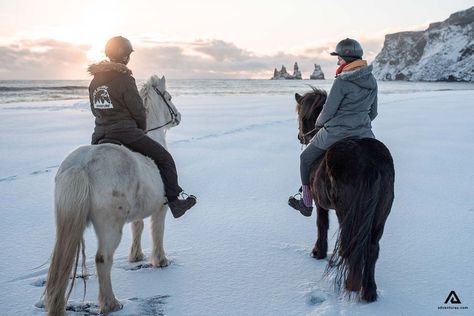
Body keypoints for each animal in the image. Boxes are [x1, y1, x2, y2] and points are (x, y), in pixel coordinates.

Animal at [44, 75, 180, 314]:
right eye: (169, 98)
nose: (178, 116)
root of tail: (82, 165)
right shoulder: (161, 208)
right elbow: (157, 232)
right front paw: (160, 261)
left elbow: (138, 227)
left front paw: (136, 256)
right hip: (110, 226)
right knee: (103, 259)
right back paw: (111, 304)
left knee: (61, 263)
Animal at [294, 87, 394, 302]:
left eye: (301, 116)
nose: (301, 137)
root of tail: (370, 164)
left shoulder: (321, 204)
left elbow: (322, 224)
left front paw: (318, 252)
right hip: (380, 215)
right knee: (371, 248)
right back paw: (368, 292)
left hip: (346, 212)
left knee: (352, 245)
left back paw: (351, 285)